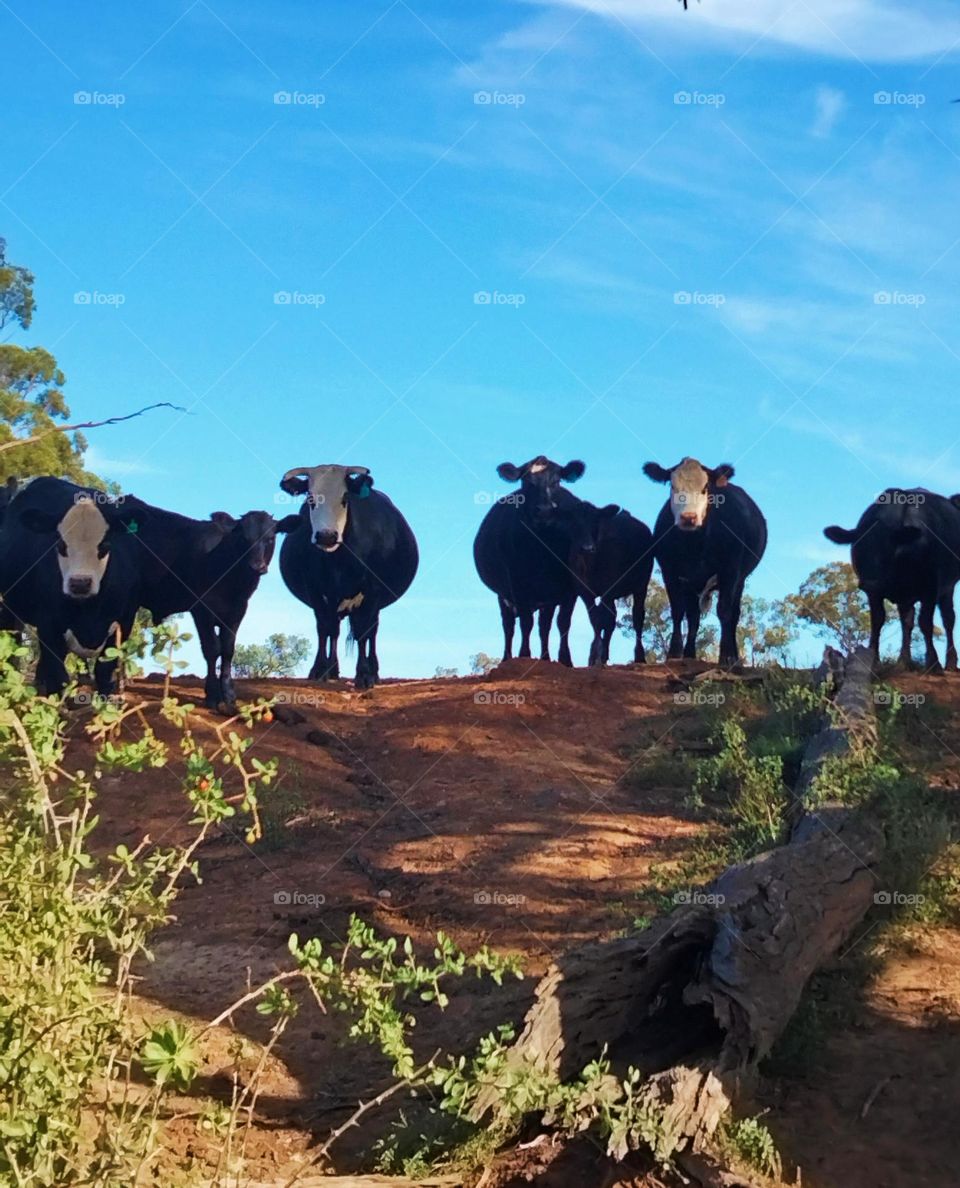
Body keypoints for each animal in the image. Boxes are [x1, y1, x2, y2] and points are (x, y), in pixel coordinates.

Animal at [273, 460, 415, 693]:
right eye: (310, 498)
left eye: (345, 498)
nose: (326, 536)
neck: (338, 564)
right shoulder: (316, 591)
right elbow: (324, 628)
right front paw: (320, 670)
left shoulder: (372, 591)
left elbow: (363, 631)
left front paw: (364, 675)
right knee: (335, 630)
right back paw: (333, 669)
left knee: (371, 631)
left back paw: (373, 670)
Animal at [641, 456, 769, 670]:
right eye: (673, 486)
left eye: (705, 488)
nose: (688, 517)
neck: (695, 544)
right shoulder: (670, 572)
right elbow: (679, 611)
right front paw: (676, 653)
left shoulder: (730, 571)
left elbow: (724, 611)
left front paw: (726, 657)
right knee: (694, 616)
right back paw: (690, 654)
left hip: (740, 580)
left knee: (734, 615)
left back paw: (734, 657)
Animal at [822, 489, 960, 674]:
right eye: (858, 546)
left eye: (886, 545)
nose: (870, 582)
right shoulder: (874, 593)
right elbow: (877, 621)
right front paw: (874, 661)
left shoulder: (930, 589)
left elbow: (926, 623)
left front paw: (933, 663)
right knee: (907, 621)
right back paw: (904, 661)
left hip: (947, 586)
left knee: (948, 619)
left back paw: (951, 662)